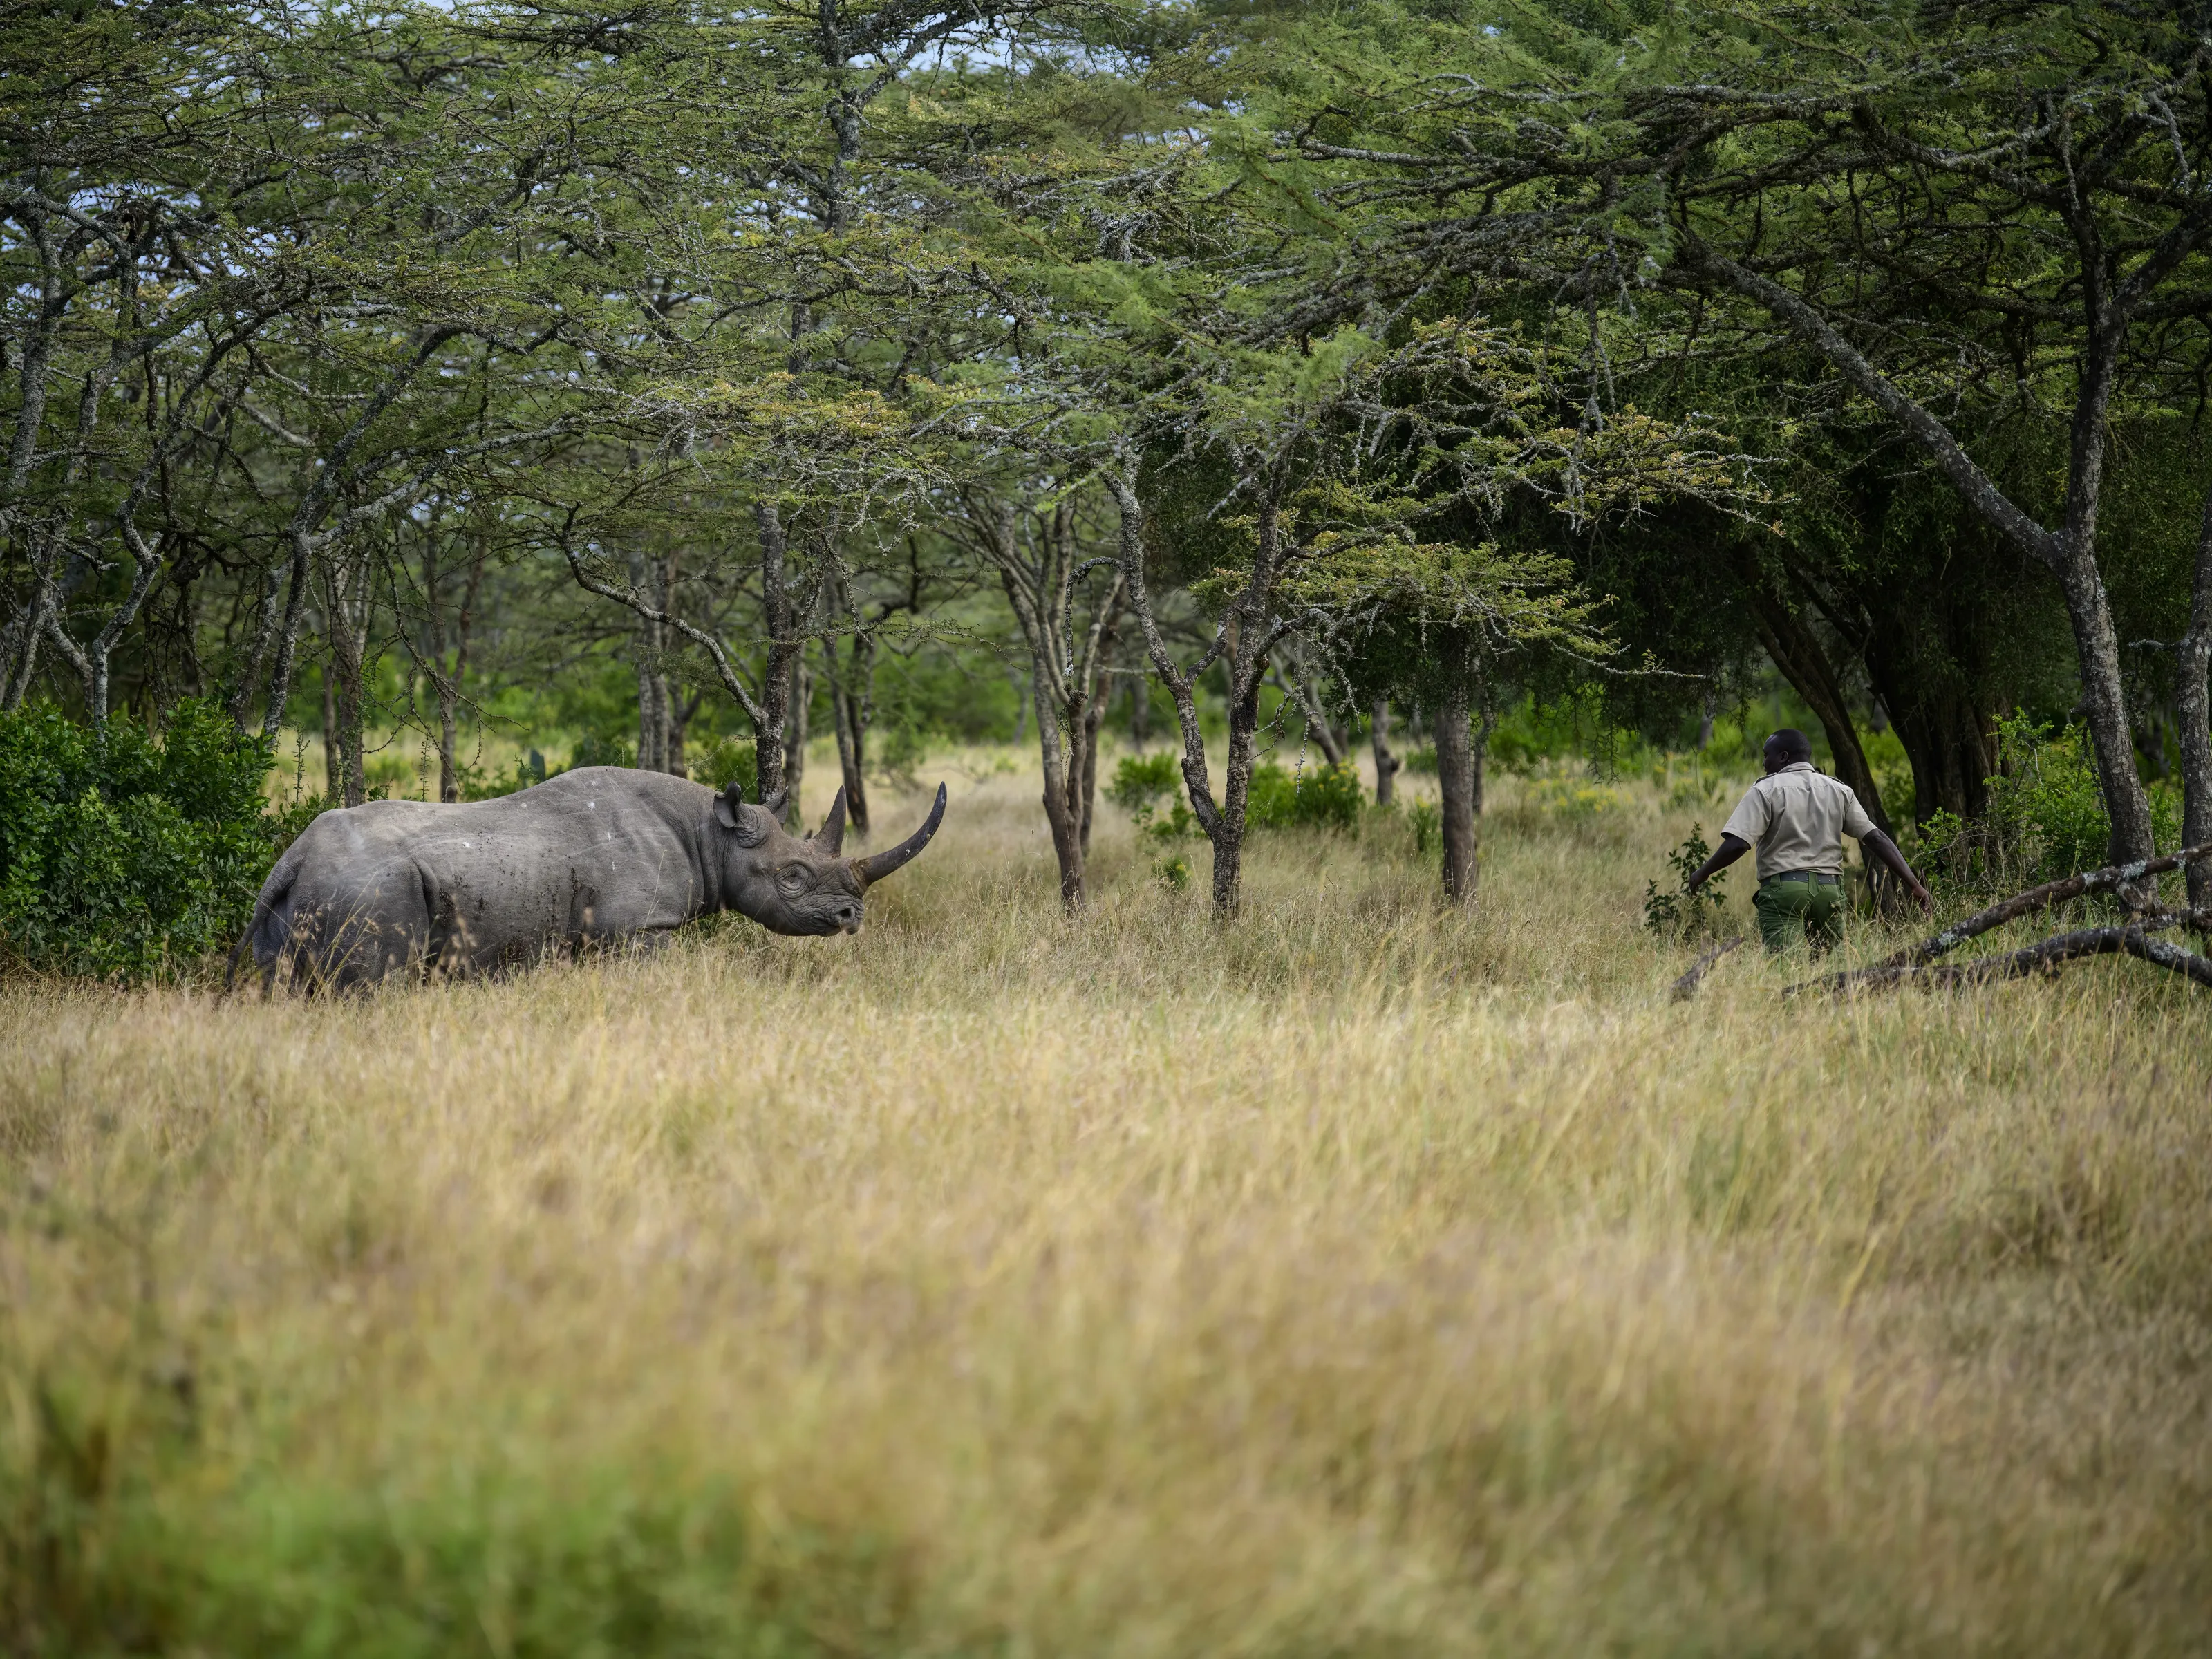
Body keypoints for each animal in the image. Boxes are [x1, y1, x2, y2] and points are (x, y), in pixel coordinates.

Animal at [228, 767, 945, 991]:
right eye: (793, 876)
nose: (853, 919)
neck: (710, 833)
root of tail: (291, 858)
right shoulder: (640, 930)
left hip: (304, 893)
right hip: (374, 888)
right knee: (377, 989)